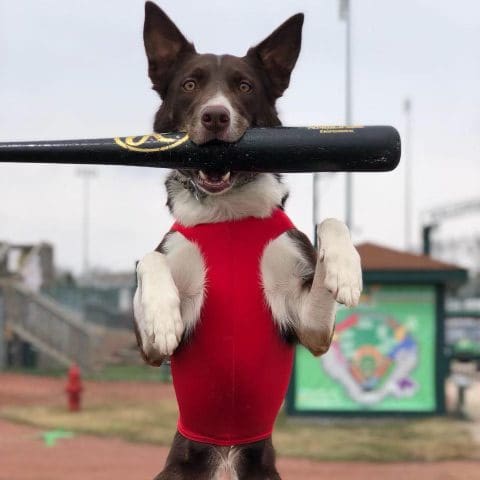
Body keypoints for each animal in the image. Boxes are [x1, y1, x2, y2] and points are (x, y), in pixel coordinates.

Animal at [133, 2, 362, 476]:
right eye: (189, 84)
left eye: (244, 86)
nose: (215, 116)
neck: (227, 216)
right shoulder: (149, 352)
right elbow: (150, 258)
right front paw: (163, 315)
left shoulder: (312, 328)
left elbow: (330, 220)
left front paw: (347, 270)